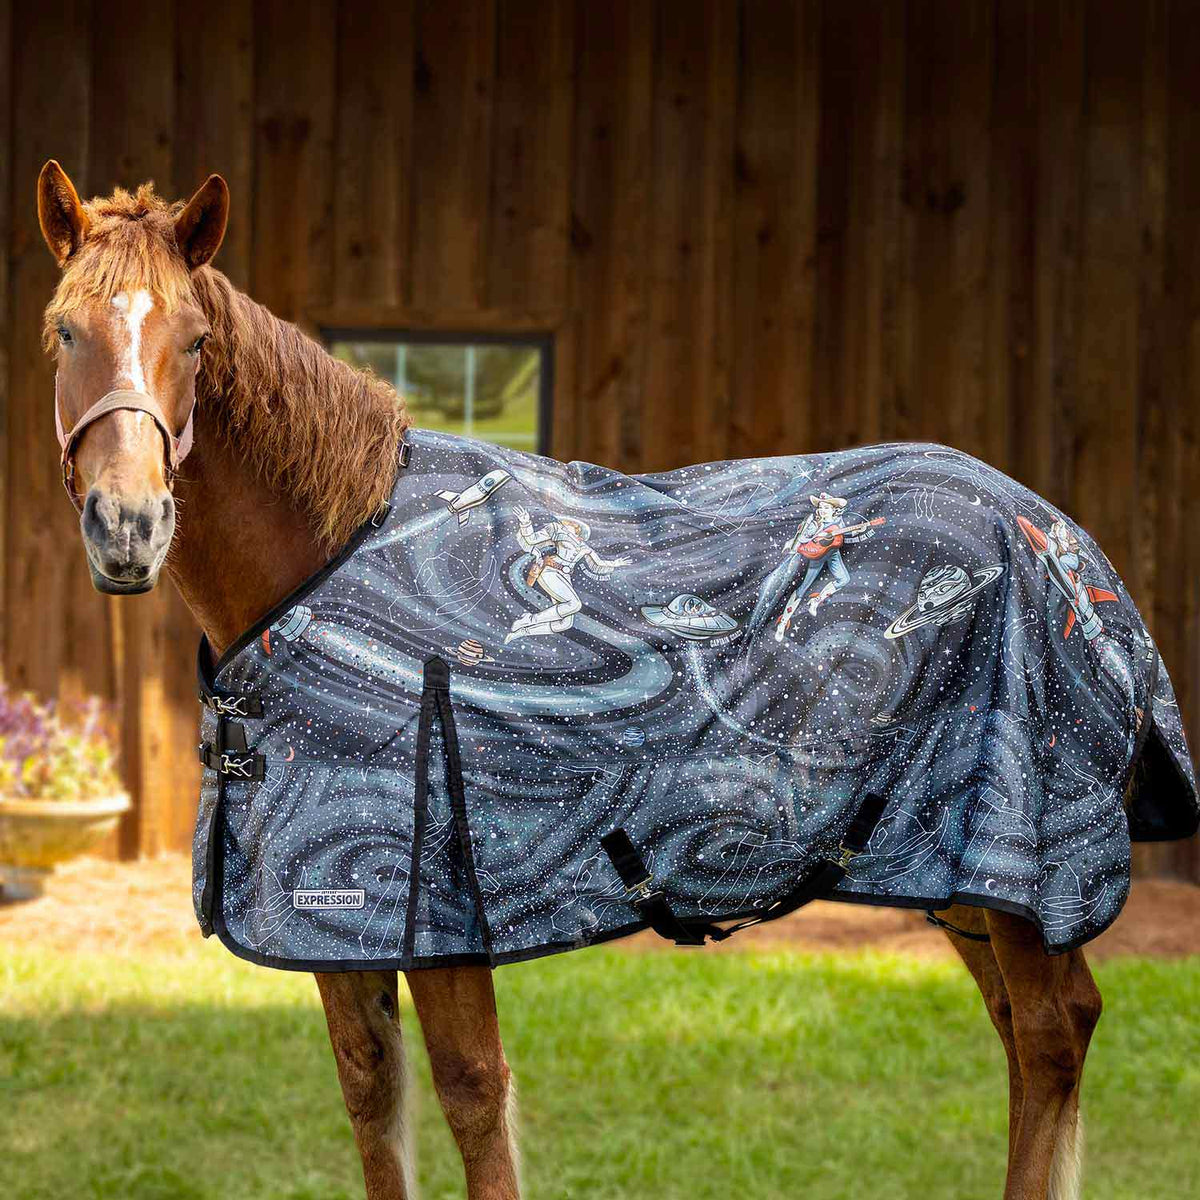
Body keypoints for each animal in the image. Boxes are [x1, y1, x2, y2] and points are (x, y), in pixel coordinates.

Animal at [34, 160, 1194, 1200]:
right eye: (62, 331)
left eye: (194, 340)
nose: (128, 529)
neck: (335, 545)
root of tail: (1067, 544)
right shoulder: (329, 930)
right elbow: (374, 1103)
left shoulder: (439, 916)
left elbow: (473, 1099)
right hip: (956, 882)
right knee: (1034, 1033)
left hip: (1016, 878)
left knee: (1050, 1034)